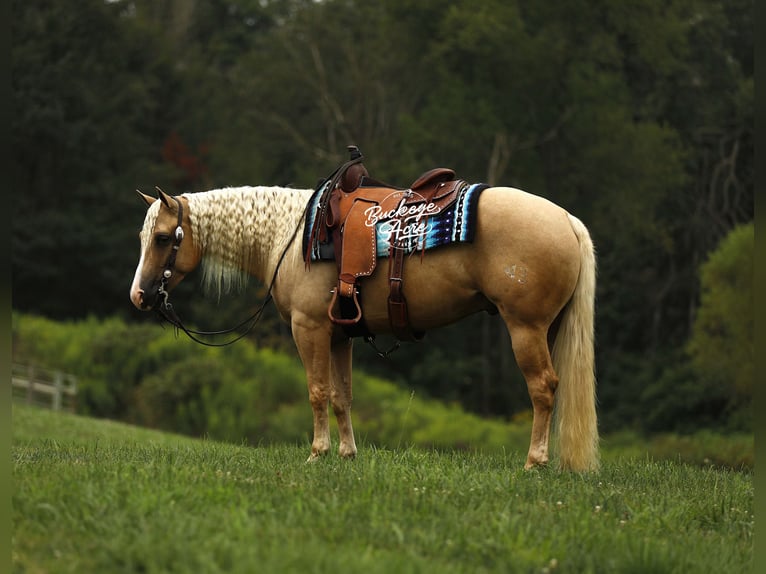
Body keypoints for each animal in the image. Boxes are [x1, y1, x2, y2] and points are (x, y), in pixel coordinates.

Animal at [129, 181, 598, 472]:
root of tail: (567, 220)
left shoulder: (310, 329)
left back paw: (534, 462)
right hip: (549, 328)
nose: (139, 296)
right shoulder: (340, 336)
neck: (291, 236)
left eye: (162, 238)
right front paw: (347, 454)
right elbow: (342, 397)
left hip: (526, 328)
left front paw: (317, 453)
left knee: (543, 389)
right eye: (142, 236)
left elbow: (317, 391)